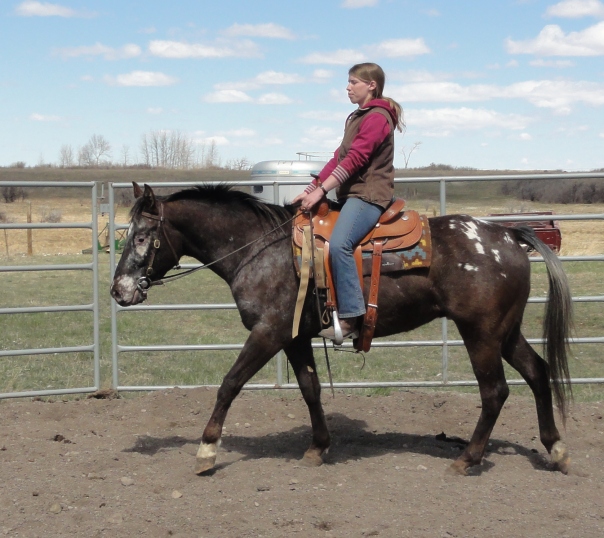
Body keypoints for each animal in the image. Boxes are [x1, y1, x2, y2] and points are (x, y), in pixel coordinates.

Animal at [111, 183, 572, 474]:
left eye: (142, 237)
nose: (118, 290)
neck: (260, 249)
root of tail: (509, 236)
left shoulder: (268, 333)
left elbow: (229, 384)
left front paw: (206, 451)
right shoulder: (295, 337)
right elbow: (310, 388)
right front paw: (318, 447)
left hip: (480, 334)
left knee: (495, 391)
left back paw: (468, 459)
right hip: (505, 332)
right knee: (538, 372)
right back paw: (556, 449)